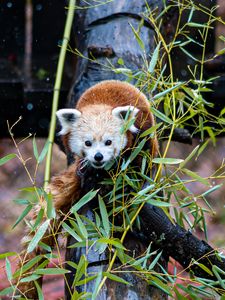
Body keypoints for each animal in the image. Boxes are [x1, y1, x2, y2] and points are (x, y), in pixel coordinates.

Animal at [16, 79, 157, 298]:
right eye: (88, 143)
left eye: (108, 142)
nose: (98, 157)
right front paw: (87, 171)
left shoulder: (141, 135)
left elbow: (138, 160)